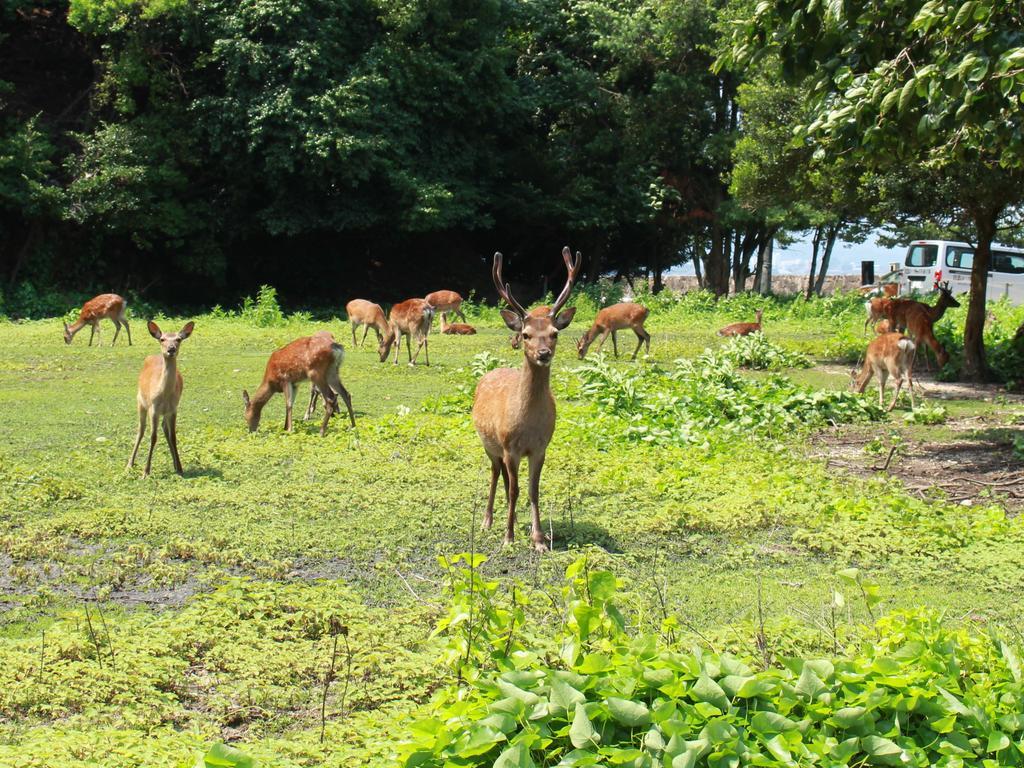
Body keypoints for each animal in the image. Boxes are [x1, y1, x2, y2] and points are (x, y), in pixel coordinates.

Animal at [127, 319, 193, 475]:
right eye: (162, 339)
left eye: (178, 339)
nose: (171, 349)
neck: (164, 395)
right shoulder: (154, 408)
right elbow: (153, 437)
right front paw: (145, 472)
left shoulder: (173, 409)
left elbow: (173, 436)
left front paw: (180, 468)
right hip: (140, 401)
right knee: (141, 430)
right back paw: (129, 464)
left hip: (164, 412)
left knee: (165, 429)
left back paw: (174, 464)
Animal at [468, 246, 577, 552]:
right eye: (526, 334)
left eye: (554, 333)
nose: (543, 353)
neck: (527, 425)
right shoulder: (510, 447)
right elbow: (516, 489)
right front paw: (508, 538)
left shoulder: (540, 448)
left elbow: (532, 490)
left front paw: (538, 539)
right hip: (489, 444)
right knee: (496, 474)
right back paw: (488, 520)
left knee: (506, 479)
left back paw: (513, 520)